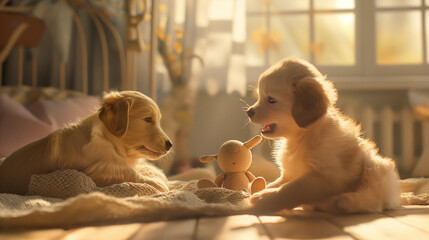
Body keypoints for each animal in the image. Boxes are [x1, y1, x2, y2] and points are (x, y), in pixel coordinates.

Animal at [0, 90, 171, 195]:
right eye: (148, 119)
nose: (170, 145)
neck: (110, 139)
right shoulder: (94, 171)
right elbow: (128, 172)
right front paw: (159, 184)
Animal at [246, 58, 400, 214]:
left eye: (271, 100)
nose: (249, 112)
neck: (302, 137)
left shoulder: (324, 176)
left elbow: (290, 189)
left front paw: (263, 198)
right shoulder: (288, 173)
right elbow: (278, 183)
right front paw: (260, 189)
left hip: (376, 166)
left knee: (375, 200)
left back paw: (345, 201)